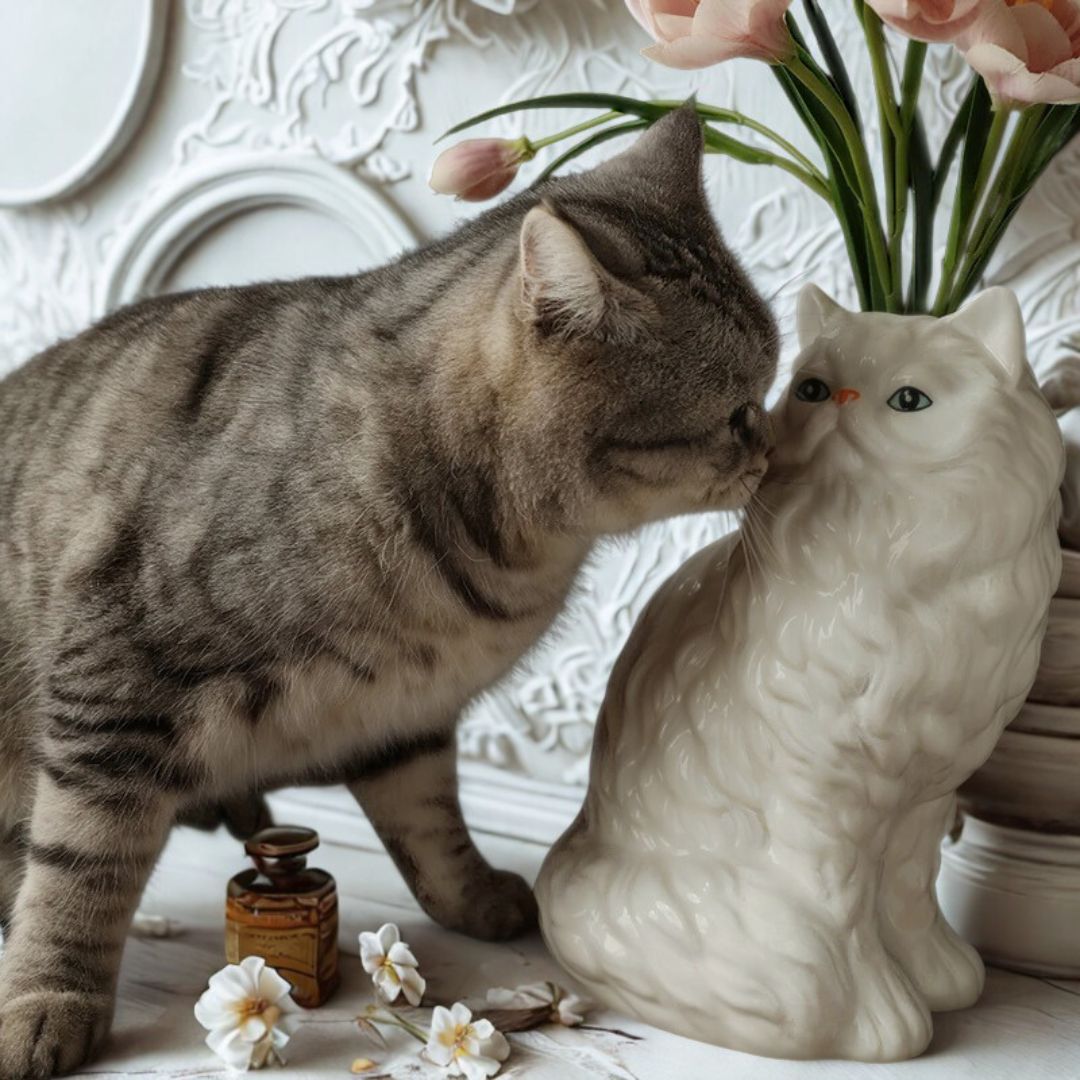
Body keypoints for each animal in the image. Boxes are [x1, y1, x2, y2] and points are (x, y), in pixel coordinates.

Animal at [0, 106, 777, 1078]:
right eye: (738, 412)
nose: (777, 445)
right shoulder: (115, 681)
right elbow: (79, 869)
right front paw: (46, 1001)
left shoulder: (404, 715)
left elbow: (433, 826)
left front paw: (478, 898)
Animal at [535, 285, 1063, 1062]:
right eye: (811, 388)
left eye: (910, 401)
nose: (841, 399)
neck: (883, 559)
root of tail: (565, 864)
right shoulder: (821, 804)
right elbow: (843, 915)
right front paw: (884, 1017)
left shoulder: (924, 794)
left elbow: (911, 894)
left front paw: (939, 976)